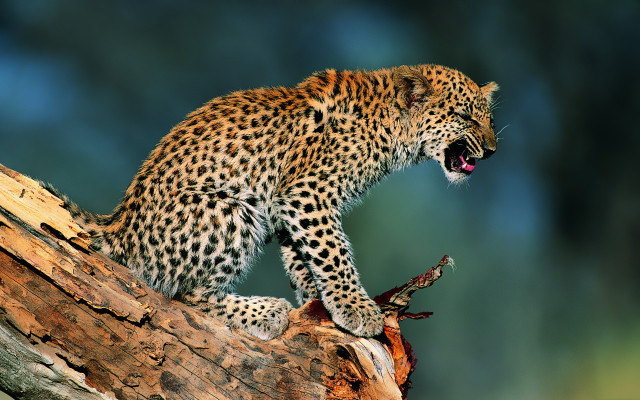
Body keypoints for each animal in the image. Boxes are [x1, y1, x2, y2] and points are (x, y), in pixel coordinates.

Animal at [52, 64, 499, 340]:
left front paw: (318, 300)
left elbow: (305, 255)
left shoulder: (289, 205)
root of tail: (116, 224)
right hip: (232, 210)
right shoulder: (308, 192)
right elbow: (334, 252)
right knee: (186, 294)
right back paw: (265, 311)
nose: (493, 150)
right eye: (467, 117)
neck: (393, 129)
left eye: (490, 119)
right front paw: (356, 308)